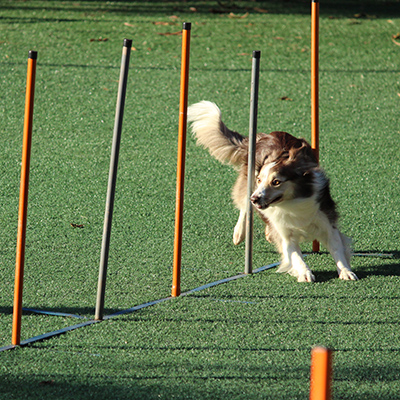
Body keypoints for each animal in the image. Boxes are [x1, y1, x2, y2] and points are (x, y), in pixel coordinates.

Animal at [188, 100, 360, 282]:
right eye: (259, 180)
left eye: (276, 182)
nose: (255, 198)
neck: (292, 203)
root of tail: (262, 136)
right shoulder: (285, 233)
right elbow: (296, 256)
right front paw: (305, 273)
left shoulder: (327, 221)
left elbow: (337, 248)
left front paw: (346, 271)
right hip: (247, 182)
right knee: (243, 205)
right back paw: (239, 233)